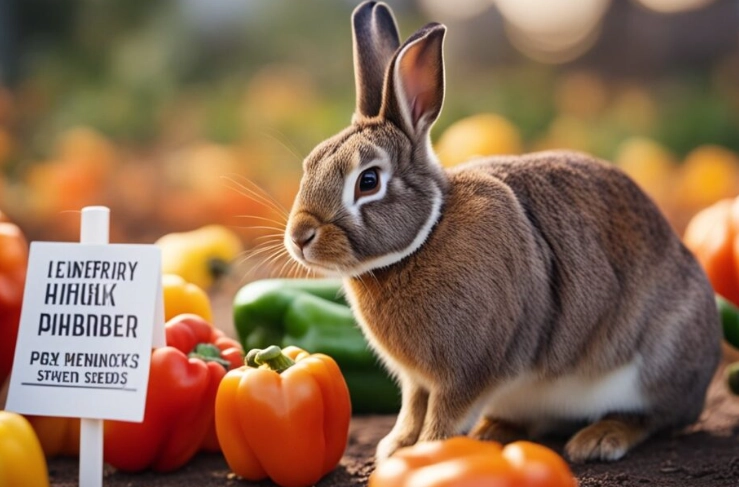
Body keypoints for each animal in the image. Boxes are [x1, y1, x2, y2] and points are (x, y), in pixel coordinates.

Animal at [284, 0, 722, 464]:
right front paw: (397, 447)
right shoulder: (417, 381)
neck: (426, 235)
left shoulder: (470, 369)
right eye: (310, 163)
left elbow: (443, 414)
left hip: (657, 361)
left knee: (653, 416)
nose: (300, 236)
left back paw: (599, 440)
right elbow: (412, 408)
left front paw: (426, 451)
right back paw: (493, 432)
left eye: (368, 181)